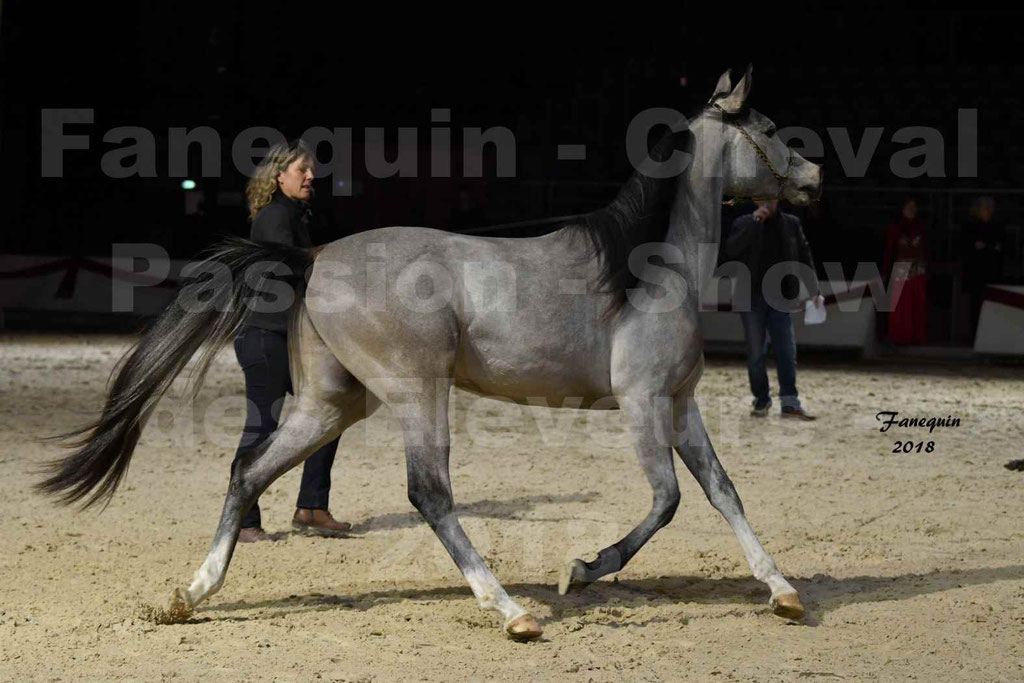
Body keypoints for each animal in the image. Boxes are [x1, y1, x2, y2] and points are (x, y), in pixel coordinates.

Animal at [41, 69, 823, 643]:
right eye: (769, 130)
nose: (813, 177)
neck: (649, 271)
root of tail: (313, 256)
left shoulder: (681, 404)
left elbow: (724, 491)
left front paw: (783, 592)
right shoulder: (641, 404)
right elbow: (668, 500)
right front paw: (580, 570)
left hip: (331, 404)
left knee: (248, 470)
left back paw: (192, 594)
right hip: (418, 391)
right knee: (430, 492)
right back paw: (511, 609)